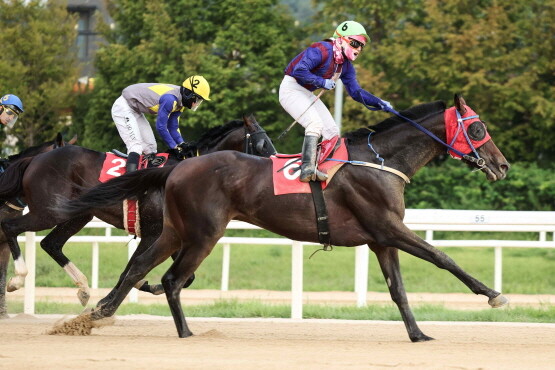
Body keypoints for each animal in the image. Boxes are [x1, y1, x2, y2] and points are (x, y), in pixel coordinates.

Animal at [57, 95, 512, 342]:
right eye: (477, 129)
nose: (502, 166)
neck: (381, 161)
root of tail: (177, 167)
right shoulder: (389, 227)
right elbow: (442, 257)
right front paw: (494, 294)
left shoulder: (380, 239)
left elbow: (398, 290)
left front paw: (418, 333)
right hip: (205, 233)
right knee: (171, 278)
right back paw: (185, 333)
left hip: (173, 229)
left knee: (139, 268)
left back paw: (95, 314)